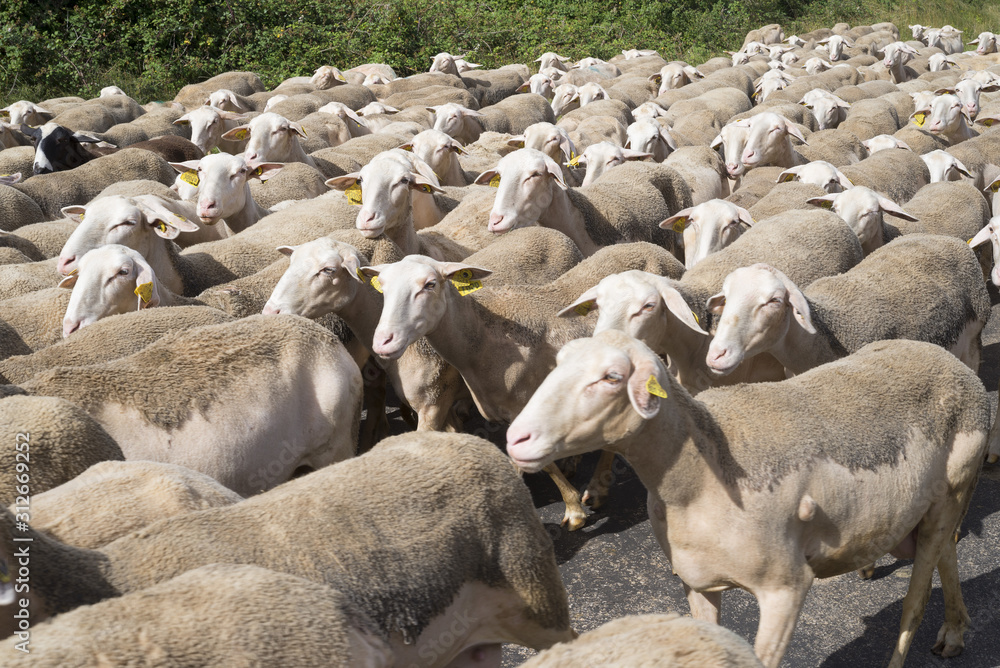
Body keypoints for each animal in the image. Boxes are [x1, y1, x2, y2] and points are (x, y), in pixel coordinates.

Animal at [506, 330, 989, 668]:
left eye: (611, 378)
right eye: (557, 364)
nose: (515, 438)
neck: (697, 479)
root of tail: (955, 365)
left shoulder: (785, 587)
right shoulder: (697, 582)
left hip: (954, 490)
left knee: (914, 603)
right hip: (932, 508)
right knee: (947, 554)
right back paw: (955, 631)